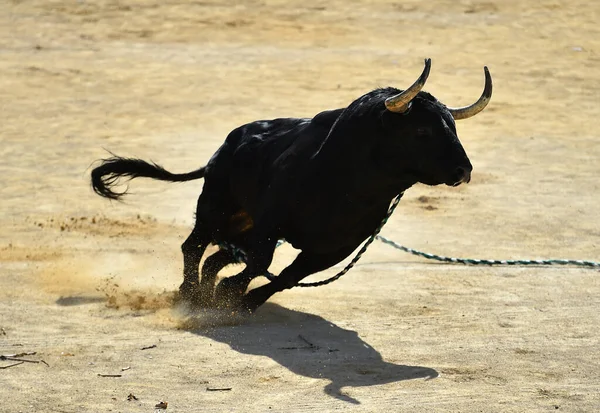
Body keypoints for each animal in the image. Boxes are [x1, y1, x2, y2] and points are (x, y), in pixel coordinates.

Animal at [90, 58, 492, 312]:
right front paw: (229, 294)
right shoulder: (272, 222)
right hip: (216, 206)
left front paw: (239, 302)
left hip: (240, 226)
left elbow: (287, 275)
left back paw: (205, 293)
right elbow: (263, 262)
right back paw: (189, 294)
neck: (350, 185)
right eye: (422, 131)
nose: (464, 170)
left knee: (218, 256)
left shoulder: (337, 246)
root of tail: (227, 145)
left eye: (452, 128)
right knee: (194, 246)